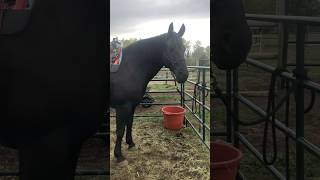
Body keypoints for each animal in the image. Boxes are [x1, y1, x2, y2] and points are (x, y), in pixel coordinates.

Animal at [110, 22, 189, 163]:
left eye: (183, 48)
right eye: (171, 48)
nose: (183, 75)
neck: (131, 67)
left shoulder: (131, 106)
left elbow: (129, 124)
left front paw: (131, 143)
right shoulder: (122, 107)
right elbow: (120, 130)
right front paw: (118, 155)